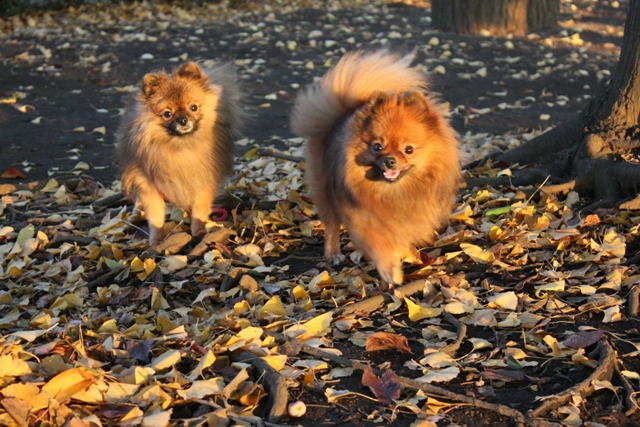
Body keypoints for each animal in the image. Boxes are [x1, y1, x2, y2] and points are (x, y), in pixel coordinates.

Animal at [115, 61, 245, 246]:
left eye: (193, 107)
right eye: (167, 114)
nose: (183, 120)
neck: (181, 148)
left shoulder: (203, 181)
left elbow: (199, 210)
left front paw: (199, 231)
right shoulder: (149, 185)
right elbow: (155, 216)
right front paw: (156, 239)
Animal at [290, 51, 460, 290]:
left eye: (408, 149)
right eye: (377, 147)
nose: (389, 160)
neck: (393, 192)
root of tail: (341, 117)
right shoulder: (362, 220)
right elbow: (379, 245)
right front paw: (390, 271)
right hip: (325, 192)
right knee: (331, 225)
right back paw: (333, 253)